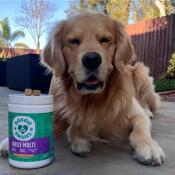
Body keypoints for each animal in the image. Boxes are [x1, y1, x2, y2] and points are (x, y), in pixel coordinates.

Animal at [41, 13, 165, 165]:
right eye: (74, 41)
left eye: (105, 39)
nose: (92, 60)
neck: (91, 100)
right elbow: (73, 125)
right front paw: (79, 138)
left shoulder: (136, 114)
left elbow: (139, 131)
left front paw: (149, 147)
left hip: (141, 72)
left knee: (146, 104)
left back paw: (149, 112)